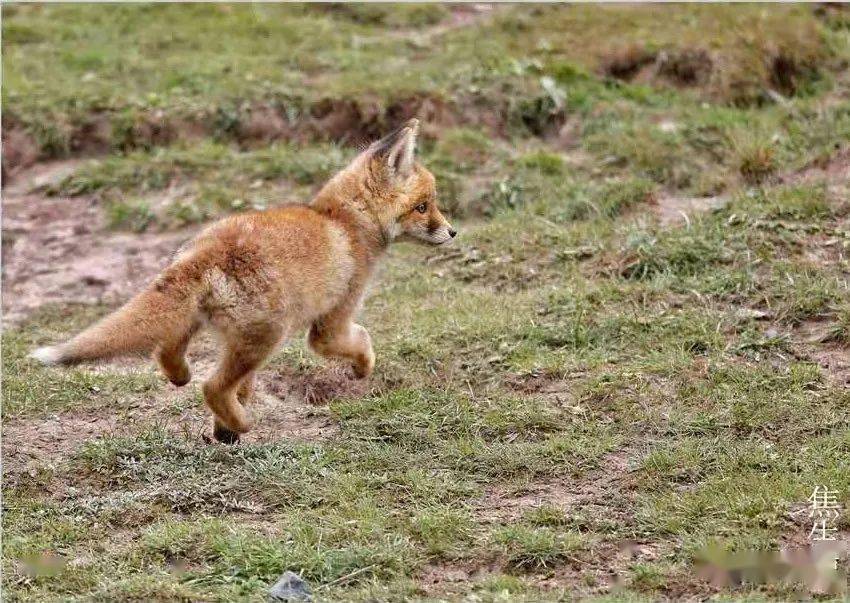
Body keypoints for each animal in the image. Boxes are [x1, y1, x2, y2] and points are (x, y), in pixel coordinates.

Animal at [31, 120, 458, 446]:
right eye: (424, 206)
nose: (453, 232)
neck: (344, 221)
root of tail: (210, 248)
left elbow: (248, 387)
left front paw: (227, 423)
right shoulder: (330, 324)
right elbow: (362, 339)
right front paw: (361, 370)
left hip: (207, 322)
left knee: (170, 352)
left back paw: (201, 399)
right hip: (267, 335)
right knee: (212, 387)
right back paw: (240, 424)